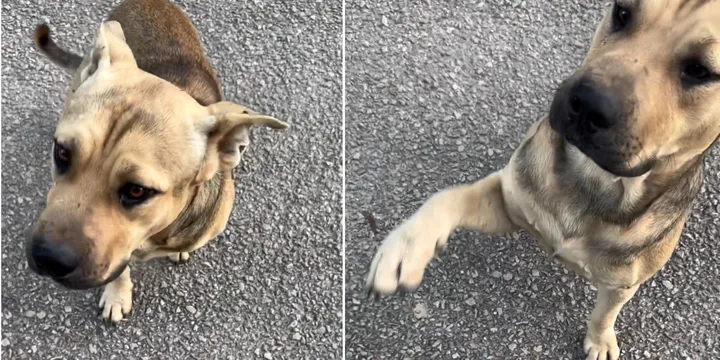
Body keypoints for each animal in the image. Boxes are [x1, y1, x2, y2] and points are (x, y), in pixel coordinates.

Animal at [366, 1, 720, 358]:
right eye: (622, 12)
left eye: (700, 71)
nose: (586, 103)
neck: (593, 180)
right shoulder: (507, 200)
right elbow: (448, 197)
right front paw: (406, 245)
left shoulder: (622, 283)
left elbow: (605, 314)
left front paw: (600, 339)